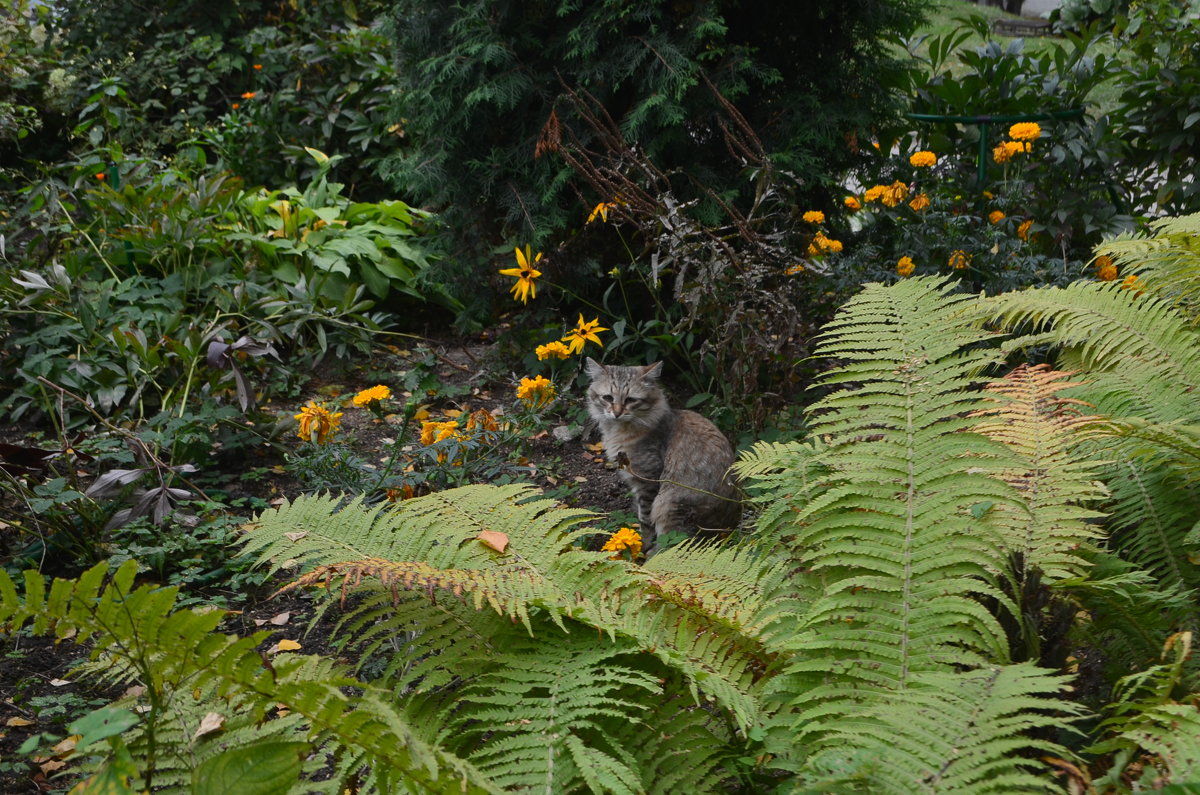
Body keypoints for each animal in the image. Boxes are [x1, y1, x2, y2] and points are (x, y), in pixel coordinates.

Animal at [583, 360, 739, 552]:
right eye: (608, 398)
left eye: (630, 400)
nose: (617, 413)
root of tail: (727, 531)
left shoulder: (647, 480)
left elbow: (645, 520)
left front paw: (643, 546)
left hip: (668, 505)